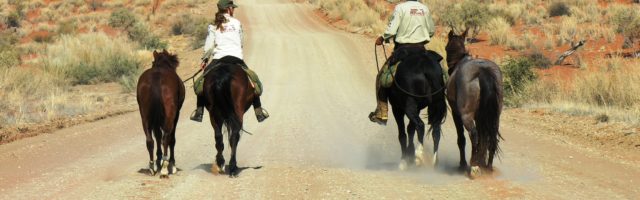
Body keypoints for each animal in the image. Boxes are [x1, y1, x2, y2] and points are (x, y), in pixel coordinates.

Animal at [136, 49, 184, 178]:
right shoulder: (176, 115)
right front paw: (171, 164)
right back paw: (165, 168)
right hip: (170, 115)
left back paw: (152, 167)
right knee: (166, 138)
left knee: (150, 140)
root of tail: (157, 77)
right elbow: (172, 139)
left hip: (145, 116)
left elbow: (157, 136)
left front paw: (159, 159)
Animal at [444, 29, 504, 178]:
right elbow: (484, 137)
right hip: (495, 116)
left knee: (474, 135)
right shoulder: (481, 116)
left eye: (446, 47)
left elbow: (461, 139)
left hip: (466, 116)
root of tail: (483, 71)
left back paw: (473, 165)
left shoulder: (456, 114)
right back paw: (487, 166)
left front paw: (463, 164)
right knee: (491, 137)